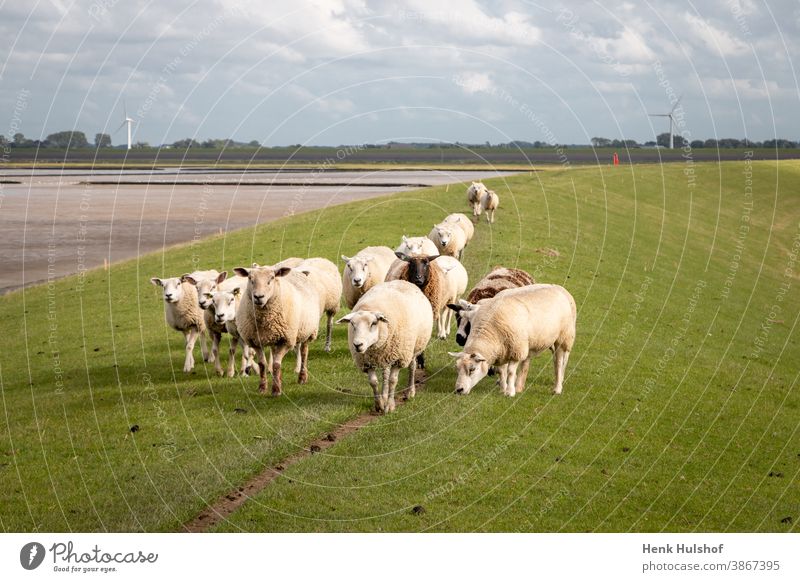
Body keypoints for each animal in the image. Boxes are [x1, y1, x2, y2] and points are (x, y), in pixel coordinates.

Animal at [233, 266, 320, 396]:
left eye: (272, 278)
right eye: (250, 278)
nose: (258, 297)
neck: (264, 318)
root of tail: (296, 271)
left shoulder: (286, 340)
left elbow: (276, 364)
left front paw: (276, 390)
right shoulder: (255, 341)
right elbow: (262, 364)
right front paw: (262, 388)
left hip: (308, 331)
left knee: (304, 353)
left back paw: (302, 377)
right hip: (275, 338)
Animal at [340, 280, 438, 412]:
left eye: (373, 323)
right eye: (352, 324)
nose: (357, 345)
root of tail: (403, 281)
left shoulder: (399, 358)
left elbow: (393, 381)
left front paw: (390, 406)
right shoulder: (366, 361)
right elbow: (373, 382)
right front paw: (379, 404)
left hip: (412, 349)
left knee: (412, 367)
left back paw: (410, 392)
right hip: (387, 354)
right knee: (385, 373)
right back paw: (385, 395)